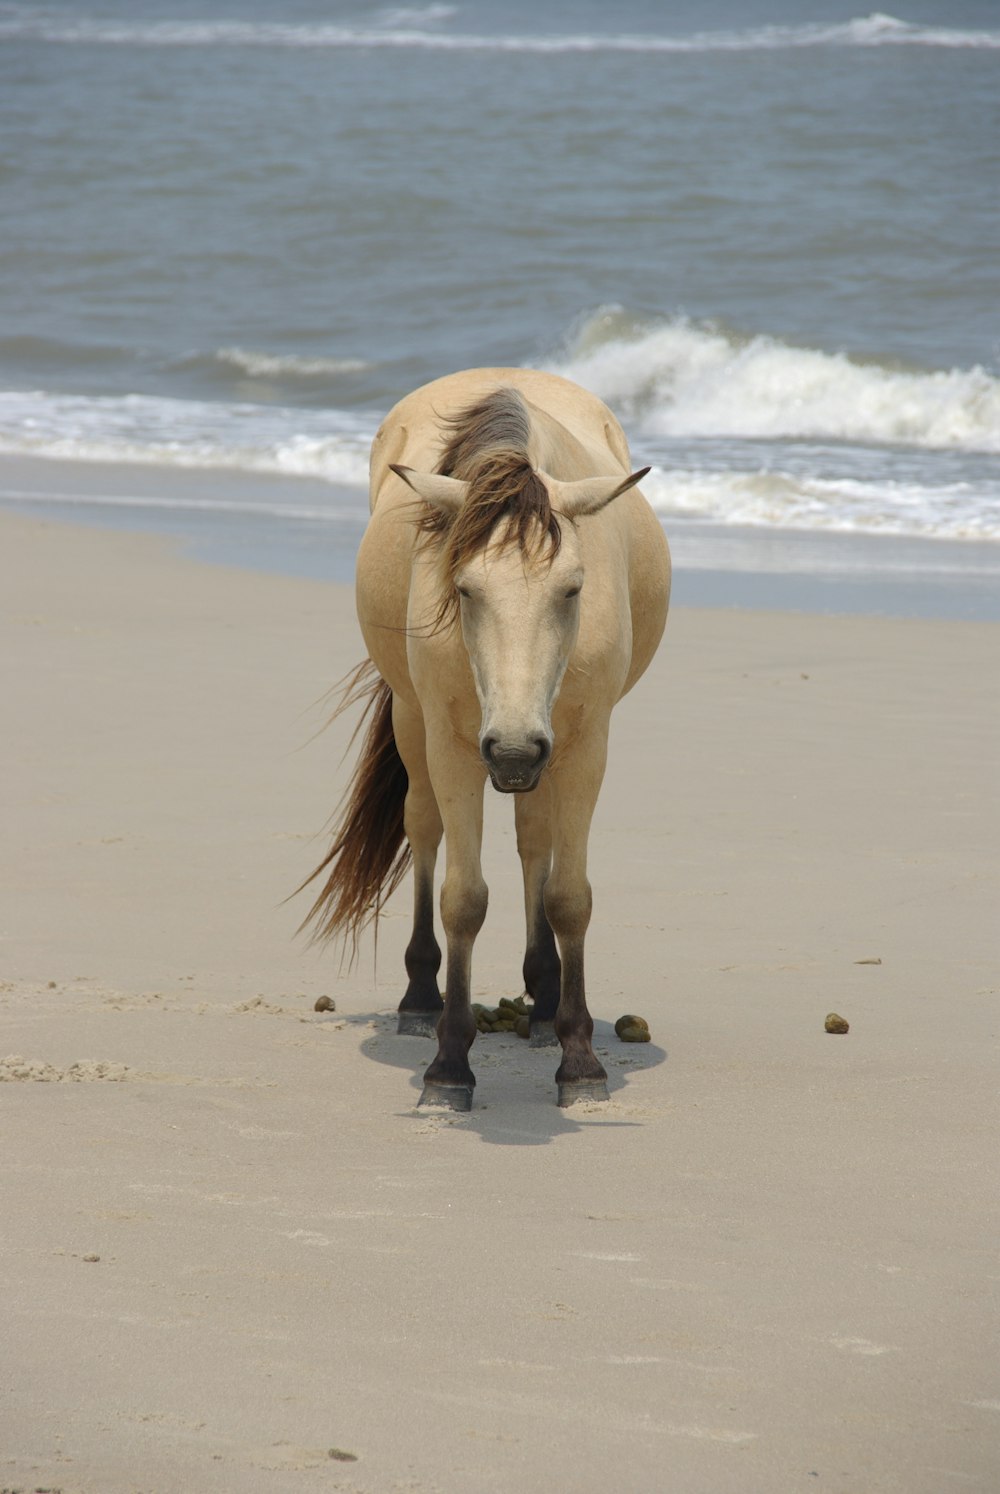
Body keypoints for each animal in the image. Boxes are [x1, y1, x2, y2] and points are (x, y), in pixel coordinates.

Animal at [298, 364, 669, 1111]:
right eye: (466, 589)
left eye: (572, 588)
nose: (516, 750)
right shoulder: (453, 744)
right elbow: (462, 899)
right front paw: (449, 1067)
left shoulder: (583, 746)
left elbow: (568, 896)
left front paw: (579, 1060)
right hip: (417, 724)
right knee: (424, 826)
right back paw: (419, 998)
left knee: (534, 842)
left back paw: (545, 997)